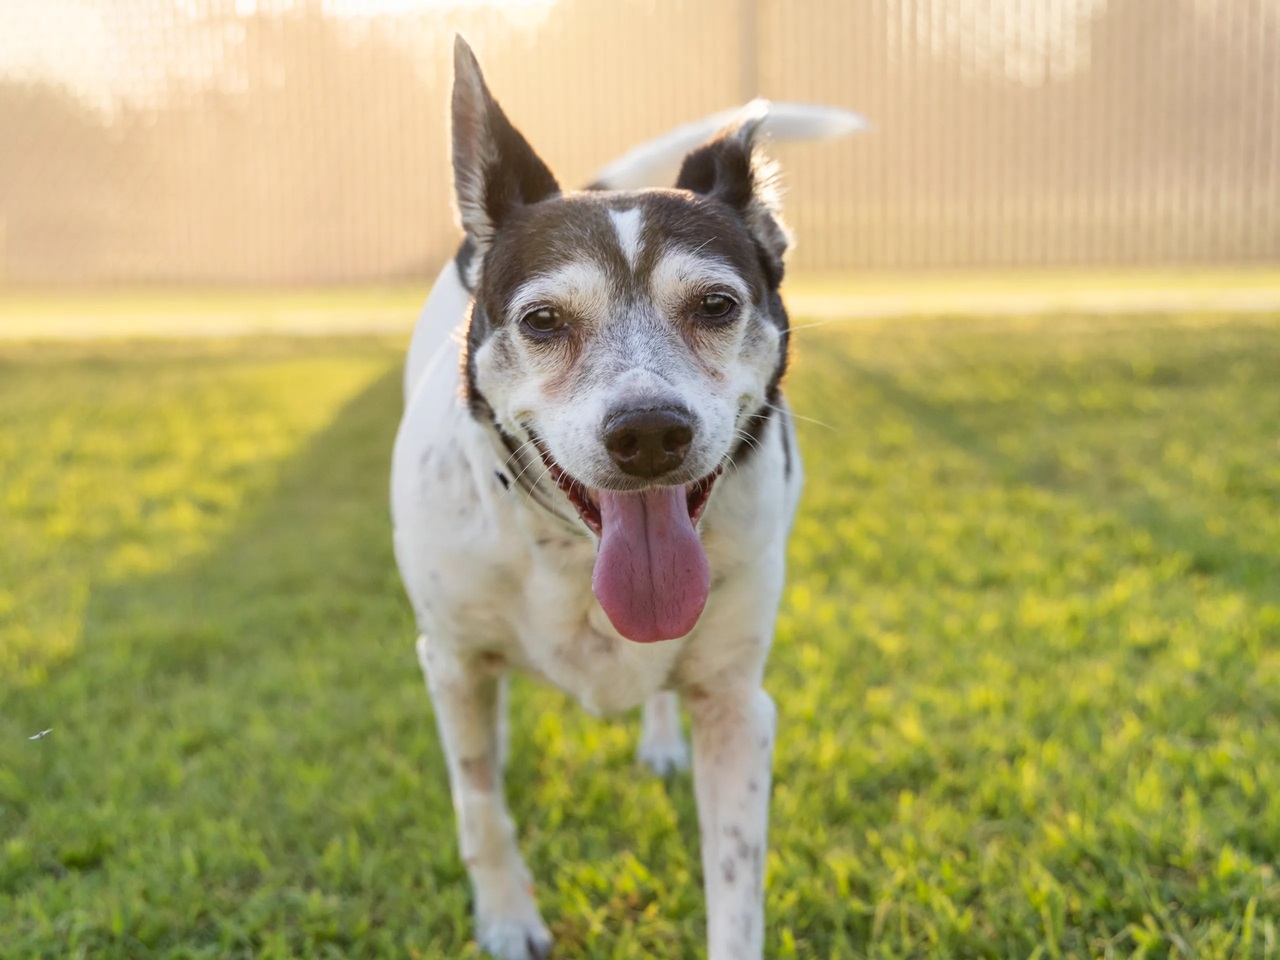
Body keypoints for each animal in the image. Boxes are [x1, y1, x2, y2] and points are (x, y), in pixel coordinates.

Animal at [394, 37, 865, 960]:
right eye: (541, 321)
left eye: (717, 304)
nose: (649, 432)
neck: (574, 555)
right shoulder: (452, 660)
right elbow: (478, 803)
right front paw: (507, 919)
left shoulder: (737, 707)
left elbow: (735, 888)